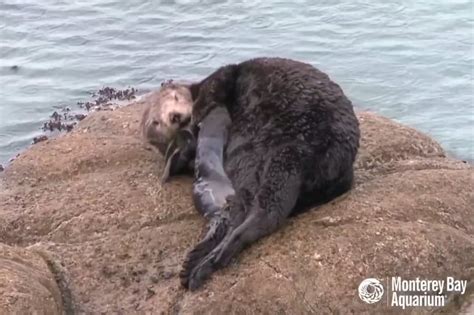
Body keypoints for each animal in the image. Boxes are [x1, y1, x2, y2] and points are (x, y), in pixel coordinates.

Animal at [165, 57, 362, 292]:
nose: (193, 121)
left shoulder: (220, 80)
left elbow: (214, 88)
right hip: (258, 163)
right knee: (243, 209)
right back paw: (197, 261)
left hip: (278, 158)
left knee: (262, 214)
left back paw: (206, 263)